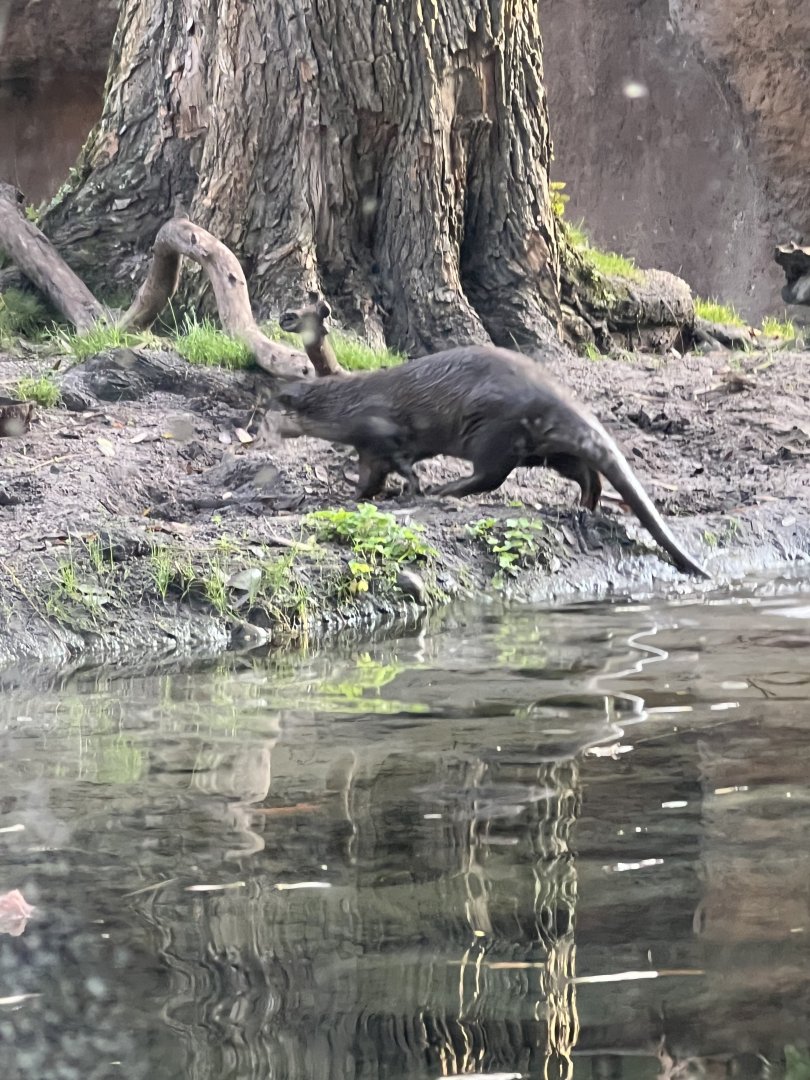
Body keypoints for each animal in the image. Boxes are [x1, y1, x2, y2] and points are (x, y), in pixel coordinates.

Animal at [275, 342, 708, 578]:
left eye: (270, 408)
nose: (267, 426)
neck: (348, 406)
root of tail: (555, 393)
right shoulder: (369, 448)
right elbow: (370, 476)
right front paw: (354, 495)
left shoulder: (382, 430)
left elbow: (402, 466)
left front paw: (411, 489)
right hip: (546, 449)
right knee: (586, 472)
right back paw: (583, 506)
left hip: (492, 430)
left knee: (490, 475)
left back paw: (446, 489)